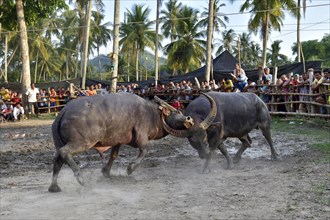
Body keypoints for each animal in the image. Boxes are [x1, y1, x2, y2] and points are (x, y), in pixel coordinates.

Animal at [47, 92, 215, 192]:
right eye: (178, 111)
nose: (189, 119)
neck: (152, 114)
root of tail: (63, 111)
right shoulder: (141, 134)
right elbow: (144, 150)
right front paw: (130, 169)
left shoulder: (118, 140)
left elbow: (114, 155)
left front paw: (106, 171)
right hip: (85, 141)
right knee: (64, 152)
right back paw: (80, 178)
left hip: (60, 142)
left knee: (57, 159)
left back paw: (54, 186)